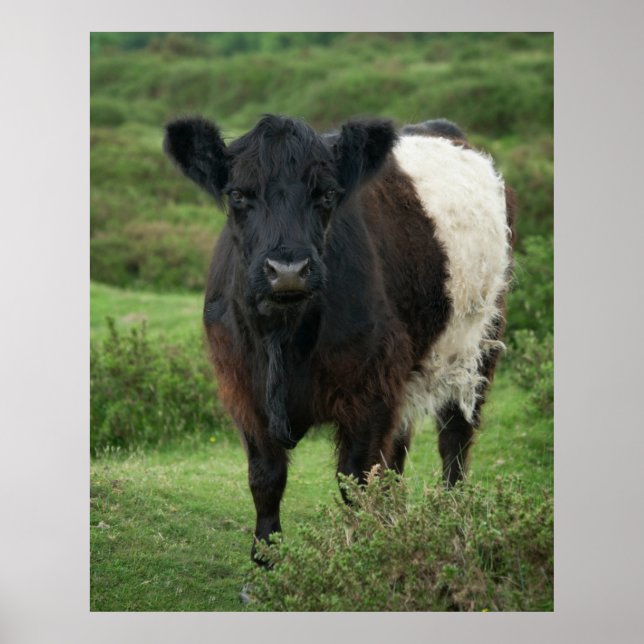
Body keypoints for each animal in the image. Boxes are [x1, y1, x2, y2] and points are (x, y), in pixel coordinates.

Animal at [163, 114, 514, 564]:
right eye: (238, 194)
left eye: (328, 194)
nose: (288, 270)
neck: (284, 335)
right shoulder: (241, 387)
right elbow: (265, 477)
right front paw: (266, 559)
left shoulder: (371, 389)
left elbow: (357, 480)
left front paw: (364, 555)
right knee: (399, 451)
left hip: (478, 345)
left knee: (455, 437)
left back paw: (453, 519)